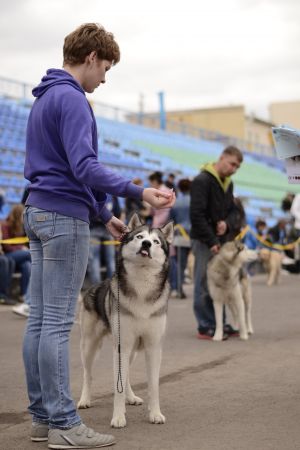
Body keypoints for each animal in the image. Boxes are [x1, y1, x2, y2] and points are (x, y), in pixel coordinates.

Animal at [77, 213, 173, 428]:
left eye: (156, 241)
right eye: (139, 237)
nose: (146, 244)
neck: (142, 288)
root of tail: (93, 285)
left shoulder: (153, 347)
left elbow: (153, 385)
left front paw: (155, 414)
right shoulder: (122, 345)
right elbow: (116, 387)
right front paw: (118, 417)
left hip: (131, 350)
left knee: (126, 373)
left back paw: (131, 397)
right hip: (90, 346)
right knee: (87, 374)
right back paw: (84, 399)